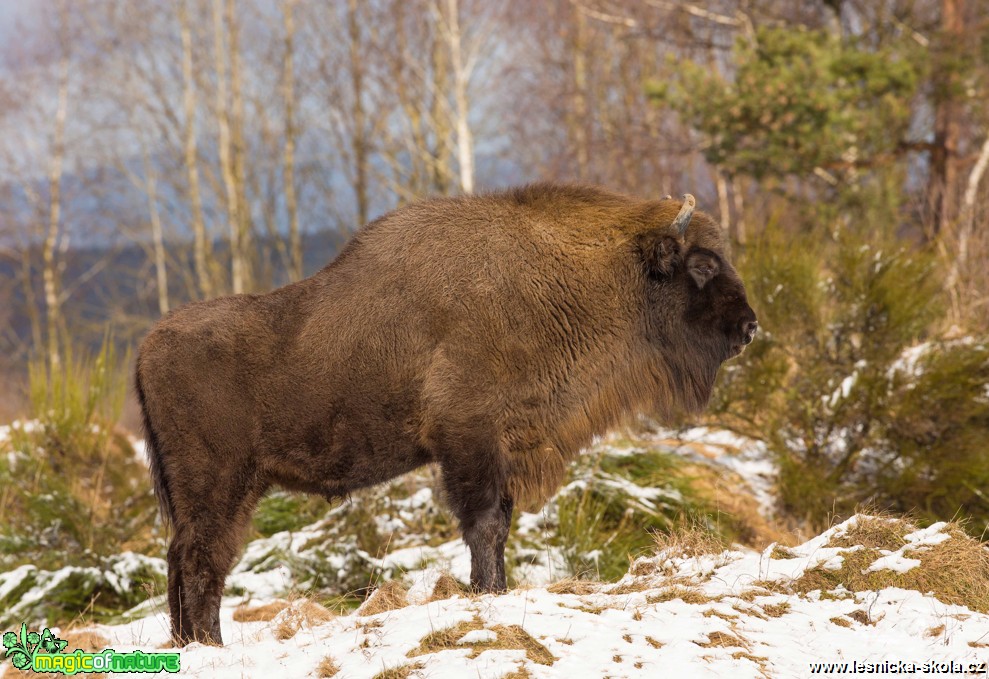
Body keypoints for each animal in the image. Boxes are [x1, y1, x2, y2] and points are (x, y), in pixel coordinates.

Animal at [135, 183, 756, 644]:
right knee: (203, 559)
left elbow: (500, 524)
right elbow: (484, 524)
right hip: (220, 486)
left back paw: (190, 644)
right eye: (702, 265)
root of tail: (147, 347)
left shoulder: (500, 449)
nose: (749, 327)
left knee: (181, 557)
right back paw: (210, 645)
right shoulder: (468, 441)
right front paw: (486, 593)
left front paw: (495, 591)